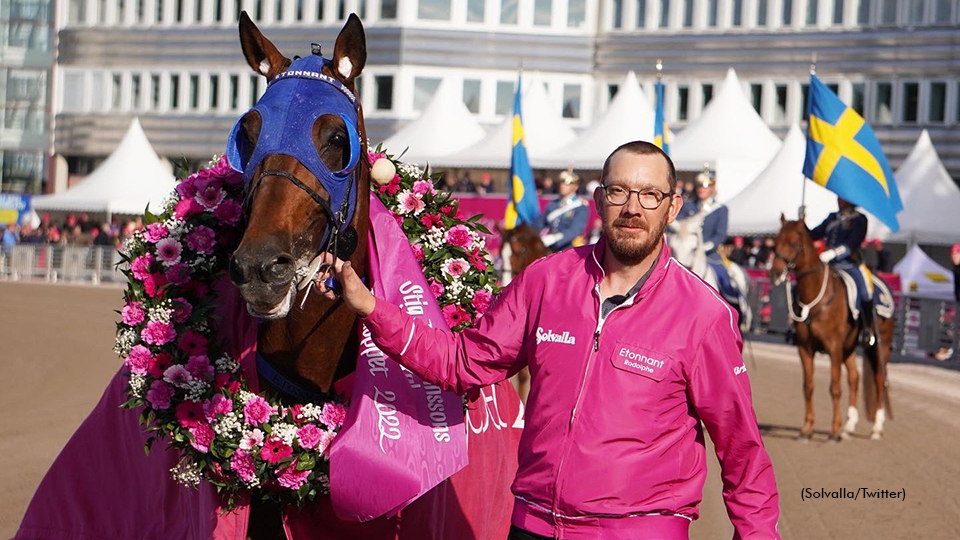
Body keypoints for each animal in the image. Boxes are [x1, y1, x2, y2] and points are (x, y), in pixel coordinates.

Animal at [764, 216, 892, 442]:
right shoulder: (805, 349)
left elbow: (834, 388)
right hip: (849, 349)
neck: (816, 297)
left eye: (794, 243)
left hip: (879, 347)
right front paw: (807, 429)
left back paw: (876, 428)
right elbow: (808, 387)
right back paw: (849, 426)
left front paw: (833, 431)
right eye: (775, 241)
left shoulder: (833, 348)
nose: (775, 273)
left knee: (878, 381)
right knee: (854, 378)